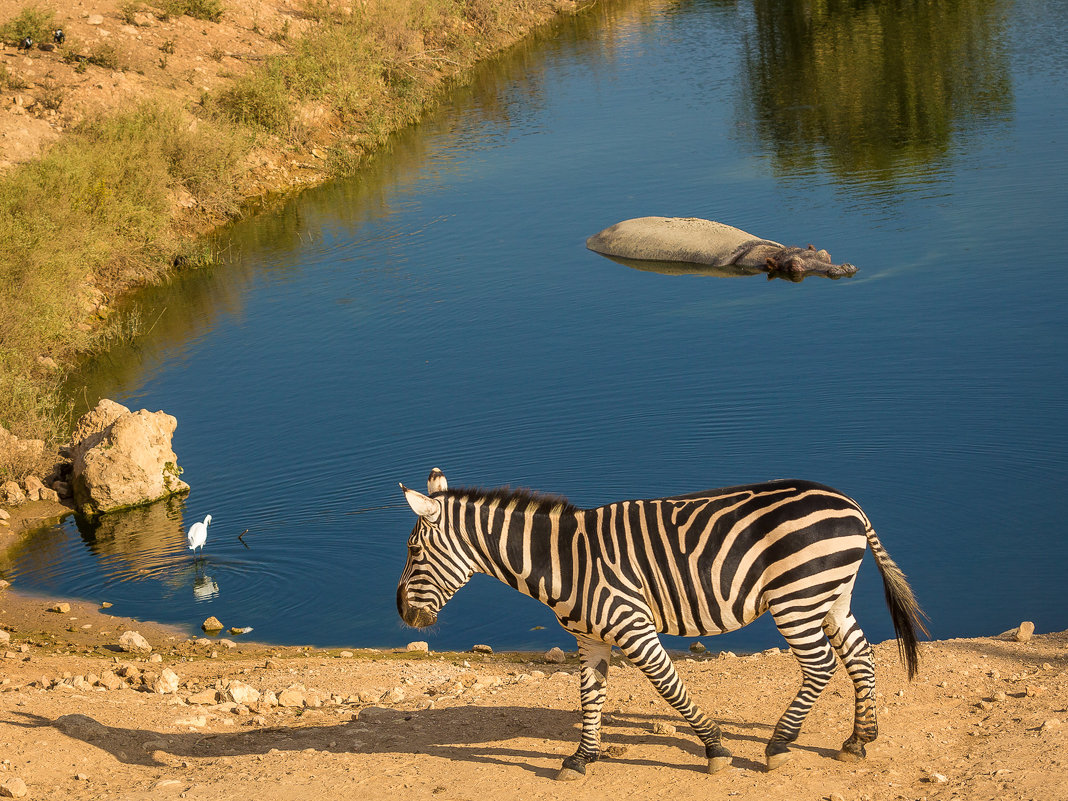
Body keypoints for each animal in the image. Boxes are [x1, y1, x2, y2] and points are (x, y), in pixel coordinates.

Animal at [397, 469, 922, 777]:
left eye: (413, 551)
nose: (401, 613)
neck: (564, 560)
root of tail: (850, 504)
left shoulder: (632, 625)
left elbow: (671, 688)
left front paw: (715, 749)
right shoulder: (590, 639)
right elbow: (590, 697)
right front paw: (582, 758)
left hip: (797, 598)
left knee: (820, 666)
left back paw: (778, 744)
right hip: (829, 595)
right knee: (860, 654)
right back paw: (859, 739)